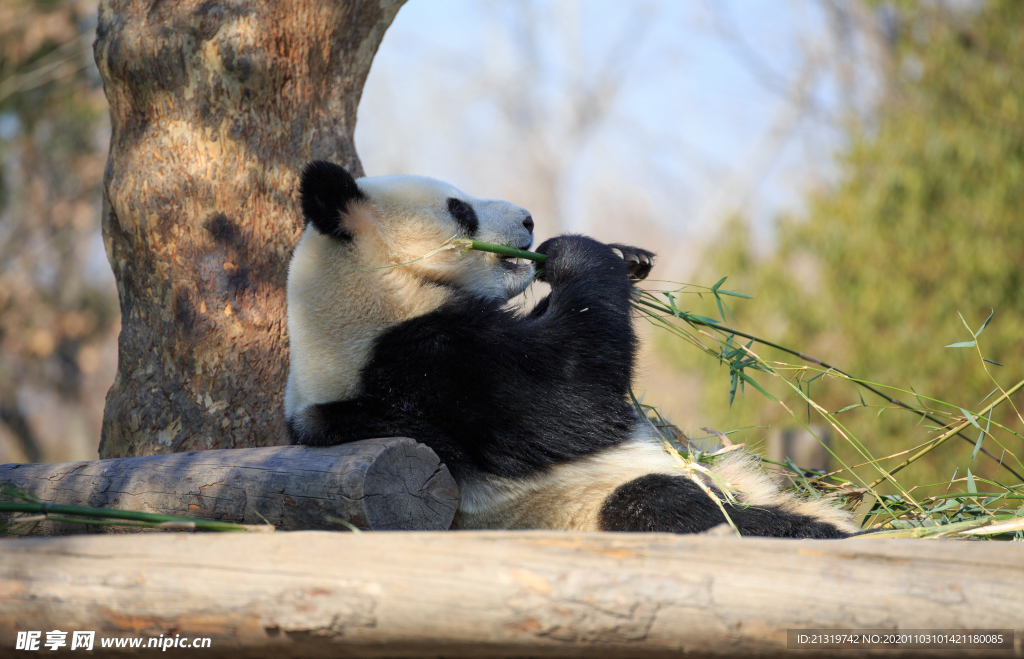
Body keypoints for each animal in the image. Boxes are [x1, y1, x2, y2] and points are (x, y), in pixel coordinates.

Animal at [282, 161, 856, 536]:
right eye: (459, 209)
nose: (529, 220)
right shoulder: (427, 367)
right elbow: (572, 395)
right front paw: (573, 252)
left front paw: (627, 255)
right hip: (584, 506)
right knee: (671, 508)